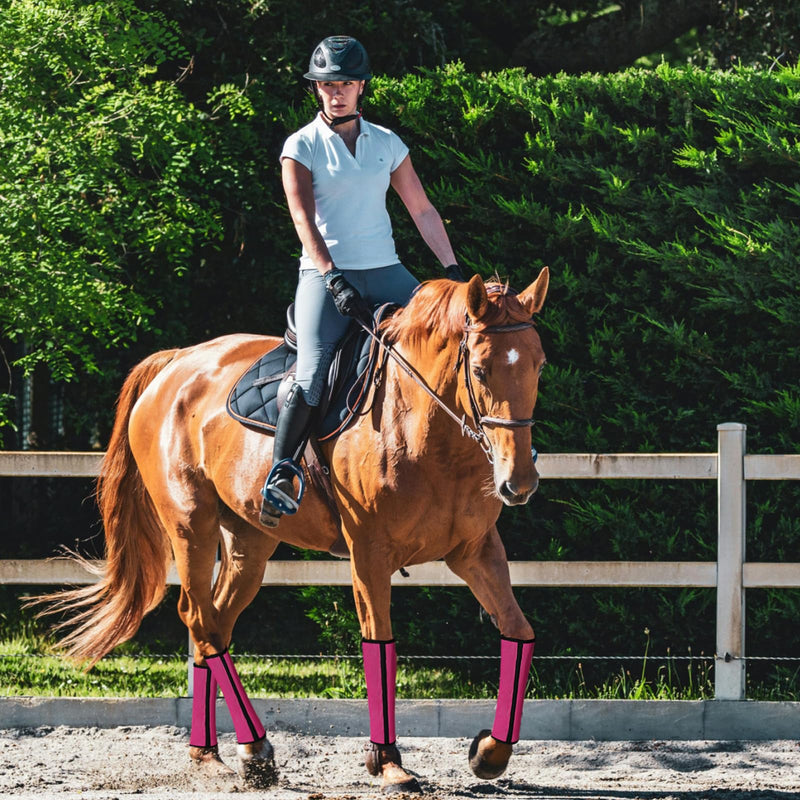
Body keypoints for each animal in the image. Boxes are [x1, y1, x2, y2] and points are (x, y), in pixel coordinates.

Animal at [41, 270, 549, 793]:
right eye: (482, 371)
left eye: (539, 366)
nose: (519, 483)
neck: (425, 432)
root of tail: (175, 363)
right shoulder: (369, 554)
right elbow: (379, 645)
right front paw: (388, 763)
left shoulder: (476, 552)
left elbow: (520, 632)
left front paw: (490, 752)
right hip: (190, 524)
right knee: (199, 616)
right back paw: (256, 747)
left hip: (248, 543)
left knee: (216, 620)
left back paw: (214, 754)